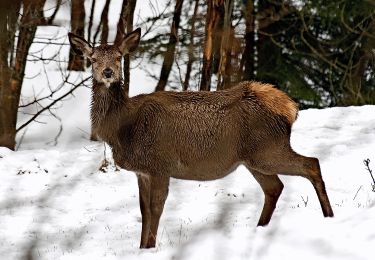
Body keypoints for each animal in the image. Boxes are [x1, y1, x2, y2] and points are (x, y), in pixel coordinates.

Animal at [68, 27, 334, 248]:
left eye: (118, 57)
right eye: (93, 59)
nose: (108, 73)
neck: (123, 129)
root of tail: (290, 107)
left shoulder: (160, 165)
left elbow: (156, 209)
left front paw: (150, 248)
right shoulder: (142, 171)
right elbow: (144, 211)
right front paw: (141, 247)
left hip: (268, 149)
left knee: (311, 163)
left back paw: (328, 216)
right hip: (254, 158)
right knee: (275, 187)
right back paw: (260, 228)